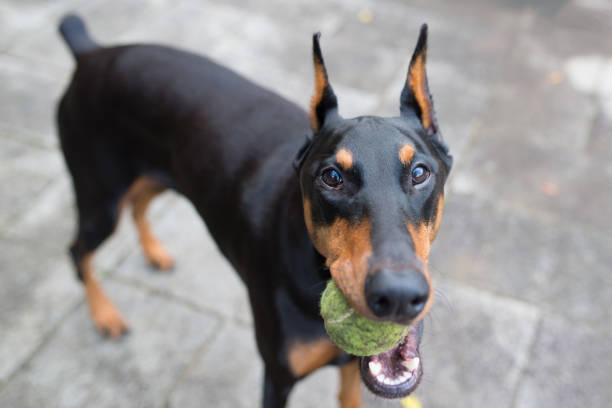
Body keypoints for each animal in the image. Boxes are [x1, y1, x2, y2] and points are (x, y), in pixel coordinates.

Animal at [56, 14, 450, 406]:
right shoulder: (277, 376)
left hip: (153, 177)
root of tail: (92, 54)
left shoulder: (352, 372)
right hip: (101, 200)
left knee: (138, 205)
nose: (398, 295)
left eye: (420, 173)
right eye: (332, 177)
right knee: (77, 251)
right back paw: (104, 315)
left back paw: (154, 252)